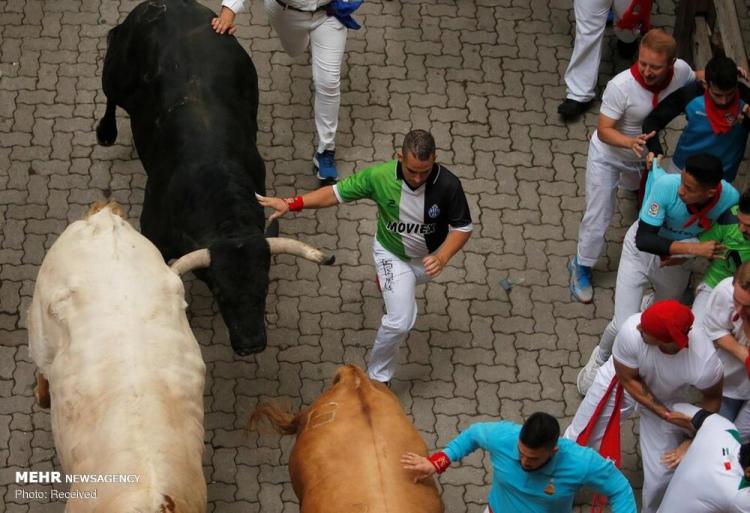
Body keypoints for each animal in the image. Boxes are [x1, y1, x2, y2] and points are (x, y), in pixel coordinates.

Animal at [97, 0, 334, 354]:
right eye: (220, 292)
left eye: (263, 287)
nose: (251, 343)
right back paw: (106, 132)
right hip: (116, 74)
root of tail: (166, 5)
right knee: (110, 93)